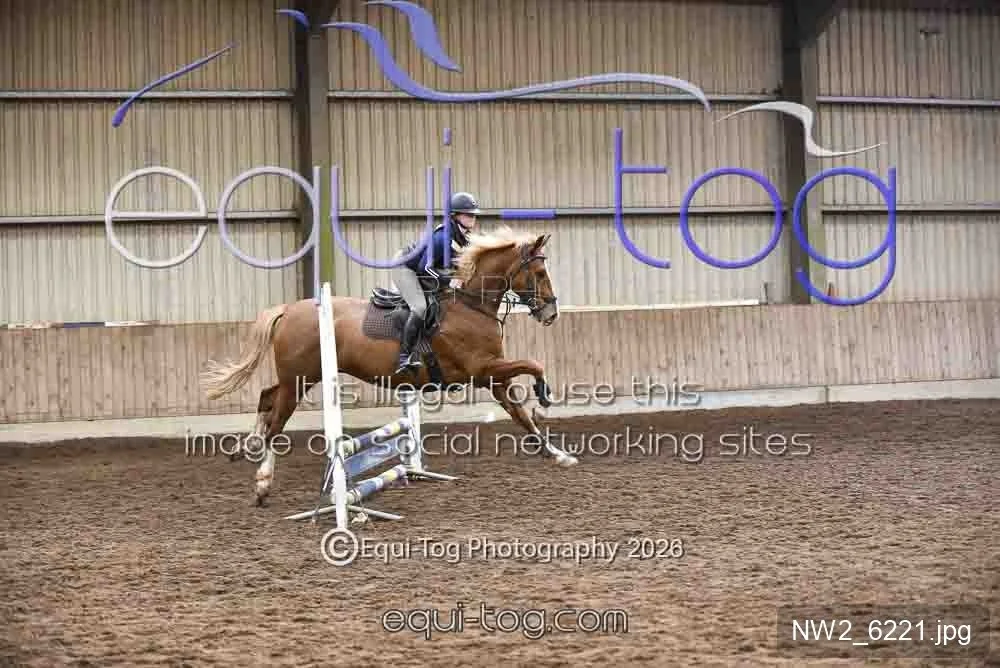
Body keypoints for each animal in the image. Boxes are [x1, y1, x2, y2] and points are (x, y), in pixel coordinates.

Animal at [200, 227, 579, 506]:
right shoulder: (483, 369)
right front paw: (545, 398)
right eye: (539, 272)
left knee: (267, 397)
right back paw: (263, 483)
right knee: (277, 422)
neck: (473, 307)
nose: (551, 313)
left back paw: (244, 449)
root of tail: (289, 309)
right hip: (300, 379)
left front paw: (557, 454)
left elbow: (522, 417)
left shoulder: (493, 377)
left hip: (299, 376)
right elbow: (534, 364)